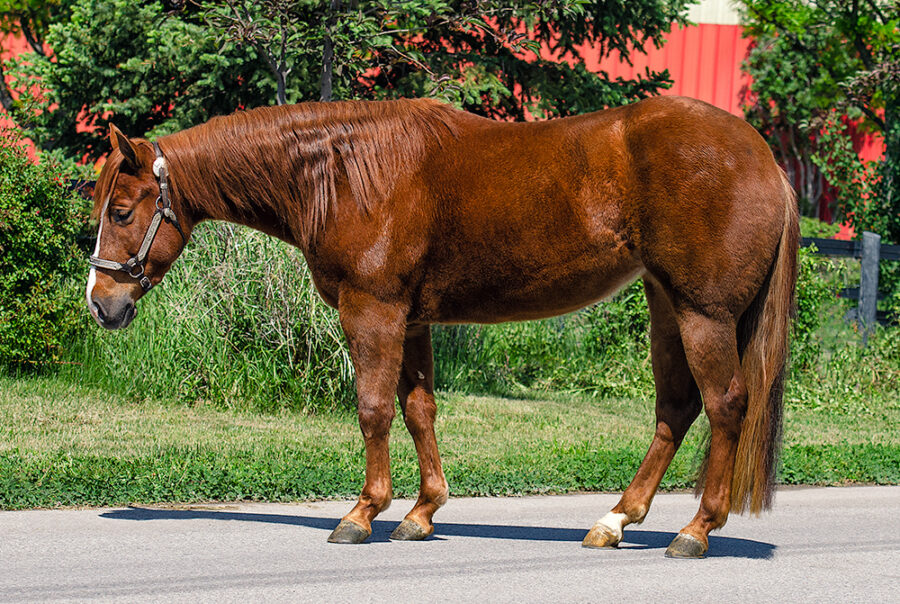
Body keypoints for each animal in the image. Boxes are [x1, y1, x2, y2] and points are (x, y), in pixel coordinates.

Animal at [86, 95, 798, 558]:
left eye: (121, 210)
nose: (101, 304)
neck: (344, 171)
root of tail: (766, 160)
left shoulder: (372, 310)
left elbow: (373, 408)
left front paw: (362, 513)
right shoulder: (411, 320)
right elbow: (419, 409)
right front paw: (422, 513)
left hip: (703, 314)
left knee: (724, 405)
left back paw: (695, 531)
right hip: (666, 307)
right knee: (675, 410)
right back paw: (615, 521)